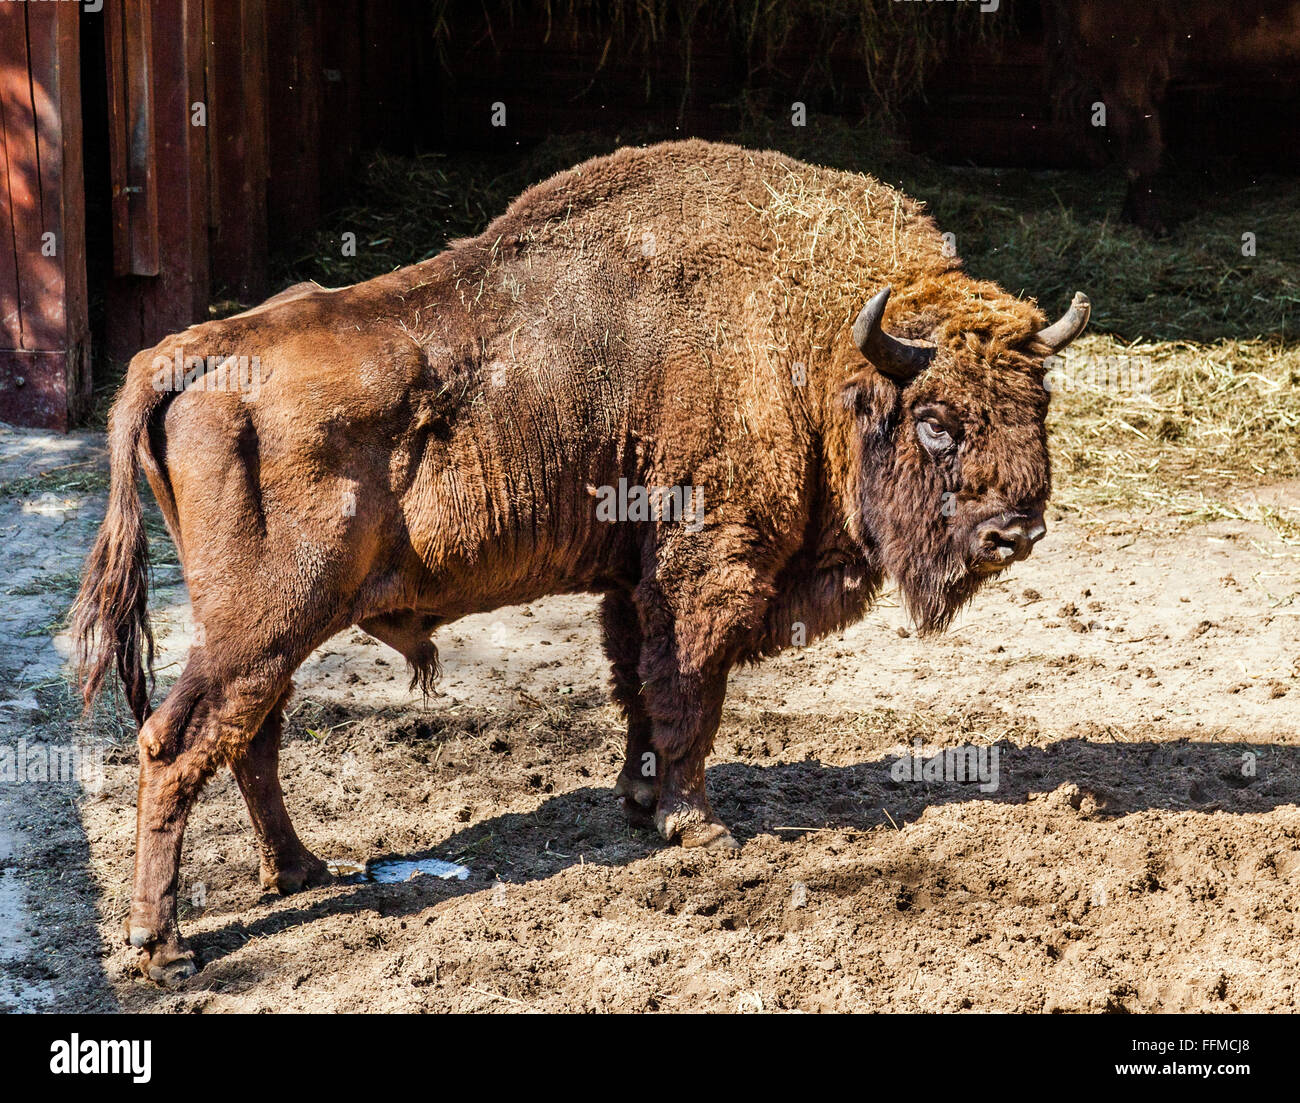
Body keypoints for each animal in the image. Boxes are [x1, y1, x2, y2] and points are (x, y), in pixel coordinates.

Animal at [71, 139, 1086, 983]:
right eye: (937, 422)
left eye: (1037, 403)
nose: (1015, 531)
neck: (811, 339)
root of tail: (189, 350)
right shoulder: (705, 572)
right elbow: (687, 696)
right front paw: (696, 825)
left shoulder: (632, 583)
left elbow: (640, 688)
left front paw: (640, 801)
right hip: (261, 624)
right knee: (177, 742)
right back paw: (165, 948)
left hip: (273, 631)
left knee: (250, 739)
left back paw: (302, 870)